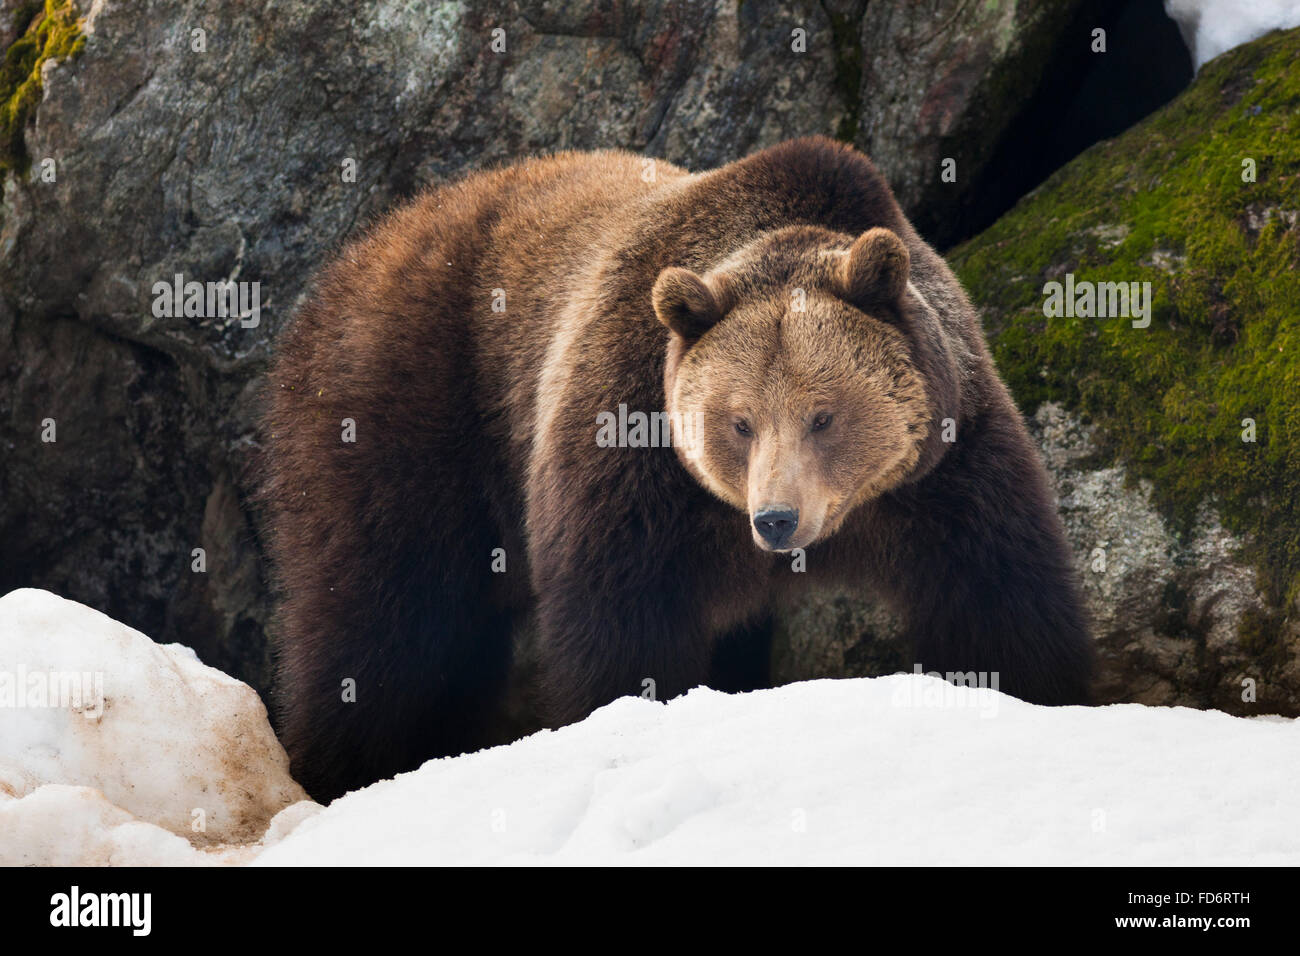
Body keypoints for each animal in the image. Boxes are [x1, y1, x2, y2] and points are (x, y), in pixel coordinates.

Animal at [263, 138, 1097, 806]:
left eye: (824, 415)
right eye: (739, 420)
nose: (777, 519)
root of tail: (363, 248)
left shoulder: (945, 466)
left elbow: (998, 592)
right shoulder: (630, 447)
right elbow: (621, 618)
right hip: (407, 402)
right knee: (382, 617)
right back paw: (343, 771)